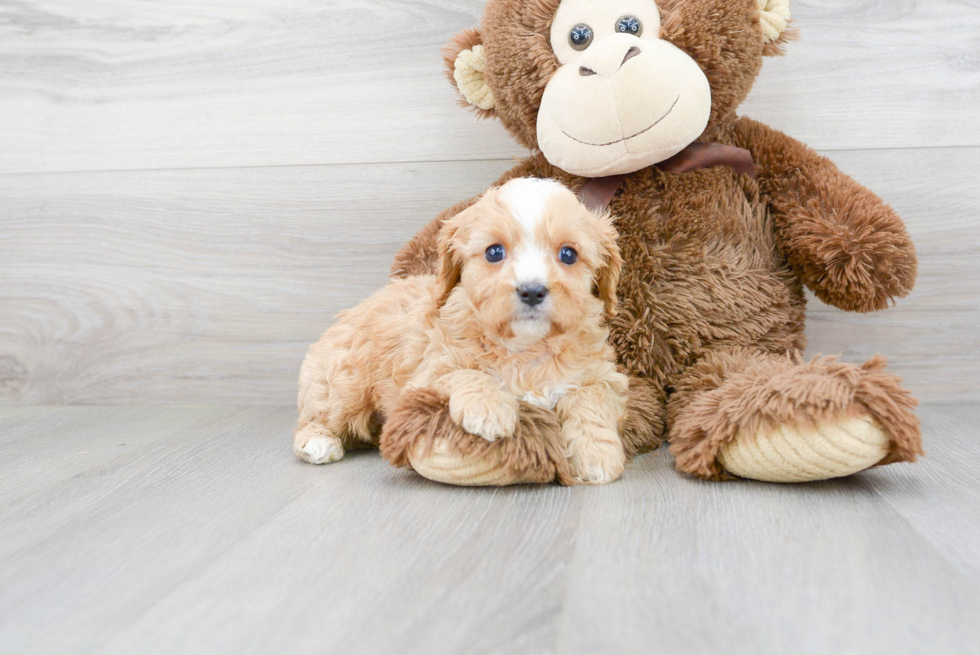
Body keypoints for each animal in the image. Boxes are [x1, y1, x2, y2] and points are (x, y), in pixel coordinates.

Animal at [292, 177, 628, 484]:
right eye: (494, 252)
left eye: (568, 254)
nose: (532, 291)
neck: (525, 347)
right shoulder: (427, 373)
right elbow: (465, 373)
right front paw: (489, 409)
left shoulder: (600, 376)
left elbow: (590, 400)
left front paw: (596, 453)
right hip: (344, 385)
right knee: (315, 418)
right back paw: (318, 442)